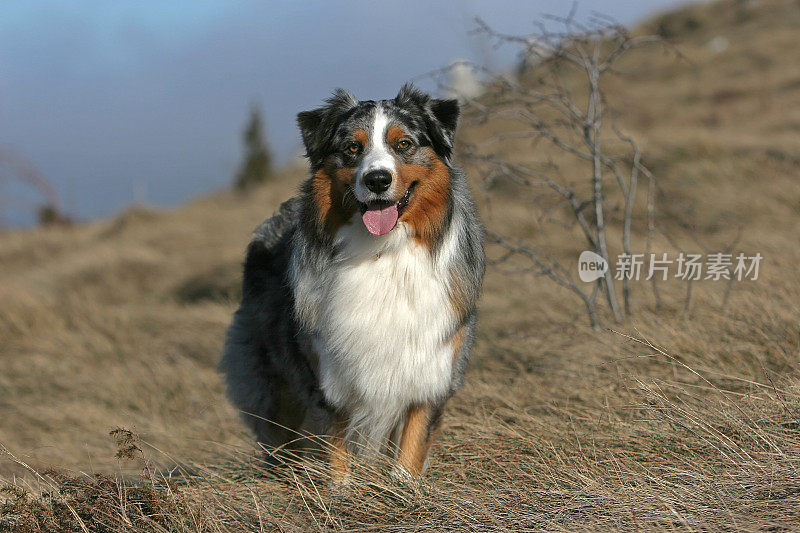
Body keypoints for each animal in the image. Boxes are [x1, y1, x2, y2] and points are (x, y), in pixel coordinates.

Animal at [217, 84, 488, 478]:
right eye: (352, 148)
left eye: (403, 144)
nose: (377, 180)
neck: (382, 252)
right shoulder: (330, 377)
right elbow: (337, 456)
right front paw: (340, 490)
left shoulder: (431, 370)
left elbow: (410, 449)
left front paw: (403, 489)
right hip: (272, 383)